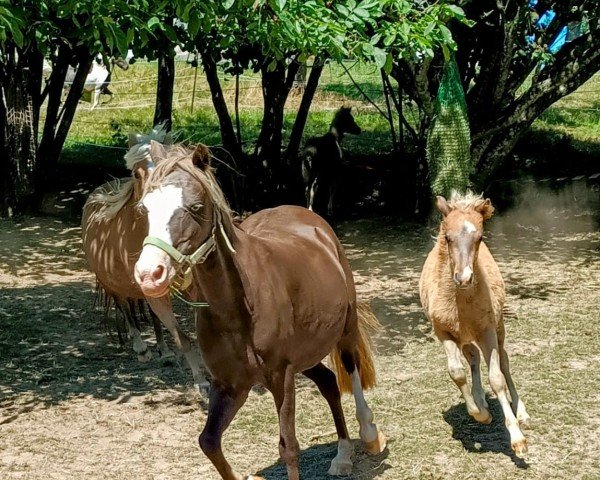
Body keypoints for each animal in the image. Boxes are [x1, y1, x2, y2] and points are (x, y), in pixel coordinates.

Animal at [134, 142, 386, 480]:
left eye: (195, 207)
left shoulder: (281, 377)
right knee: (329, 383)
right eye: (144, 209)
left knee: (351, 370)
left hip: (345, 329)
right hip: (305, 356)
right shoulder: (230, 385)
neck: (237, 308)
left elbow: (288, 447)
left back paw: (369, 435)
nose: (149, 274)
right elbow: (209, 442)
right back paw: (343, 454)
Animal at [420, 192, 528, 458]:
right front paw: (481, 414)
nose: (464, 278)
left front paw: (517, 438)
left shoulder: (487, 330)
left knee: (504, 362)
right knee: (473, 358)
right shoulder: (443, 332)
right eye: (447, 237)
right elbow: (457, 373)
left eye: (479, 237)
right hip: (465, 337)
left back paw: (521, 412)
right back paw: (480, 400)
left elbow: (497, 378)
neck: (461, 304)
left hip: (497, 329)